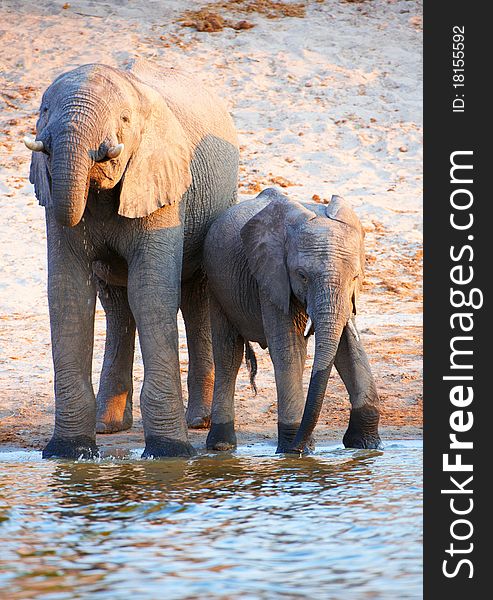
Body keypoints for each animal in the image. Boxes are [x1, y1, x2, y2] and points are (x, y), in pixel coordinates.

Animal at [25, 59, 240, 460]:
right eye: (44, 110)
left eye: (124, 119)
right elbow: (69, 292)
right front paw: (68, 452)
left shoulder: (161, 182)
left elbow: (150, 291)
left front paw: (169, 453)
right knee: (116, 304)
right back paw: (107, 426)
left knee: (194, 296)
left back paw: (198, 422)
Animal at [204, 186, 380, 450]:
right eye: (302, 276)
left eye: (355, 277)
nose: (299, 446)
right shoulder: (271, 277)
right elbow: (290, 349)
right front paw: (294, 449)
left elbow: (348, 346)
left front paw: (366, 444)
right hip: (217, 286)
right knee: (228, 355)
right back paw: (221, 446)